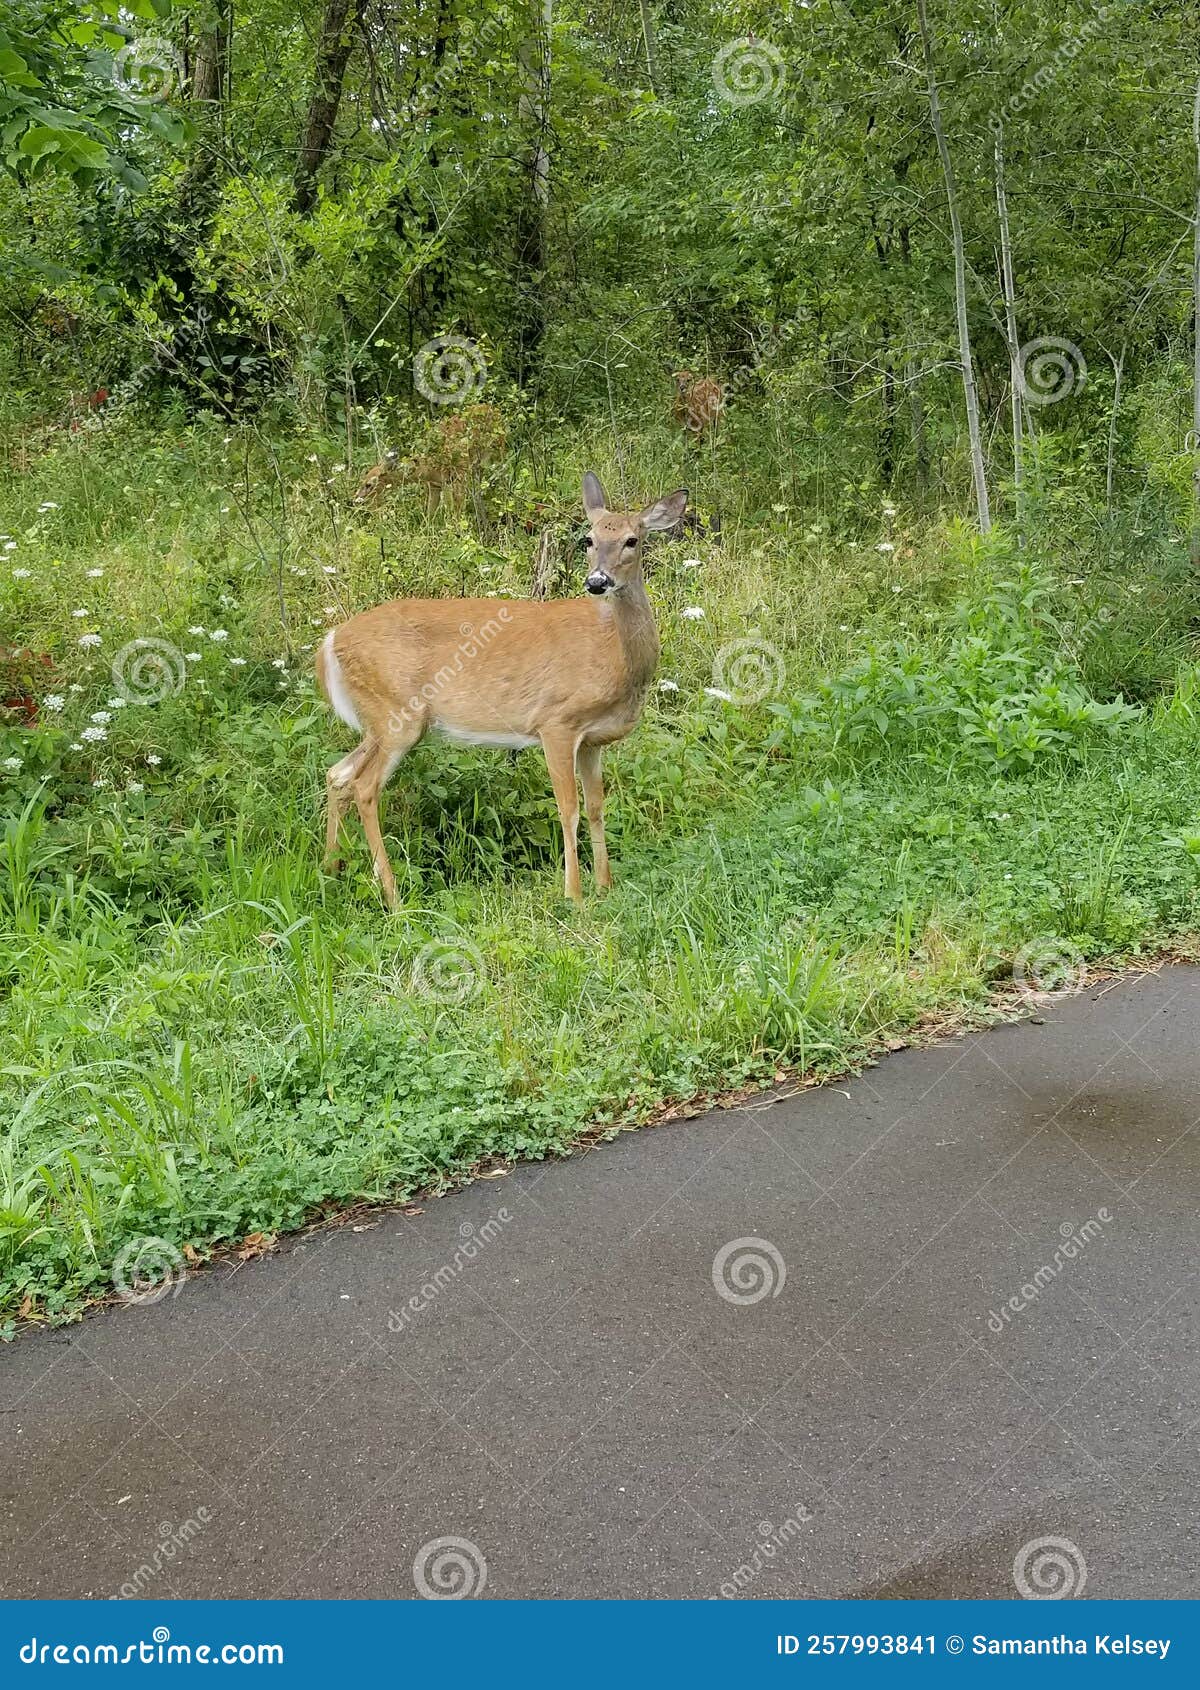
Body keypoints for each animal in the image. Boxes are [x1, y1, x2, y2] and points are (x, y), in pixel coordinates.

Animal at [317, 473, 688, 907]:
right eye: (589, 539)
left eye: (632, 540)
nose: (597, 581)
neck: (615, 655)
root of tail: (330, 641)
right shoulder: (556, 722)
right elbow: (568, 809)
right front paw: (574, 895)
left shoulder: (593, 739)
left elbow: (596, 806)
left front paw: (604, 886)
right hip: (396, 715)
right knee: (364, 787)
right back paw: (393, 897)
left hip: (380, 721)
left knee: (337, 773)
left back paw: (330, 869)